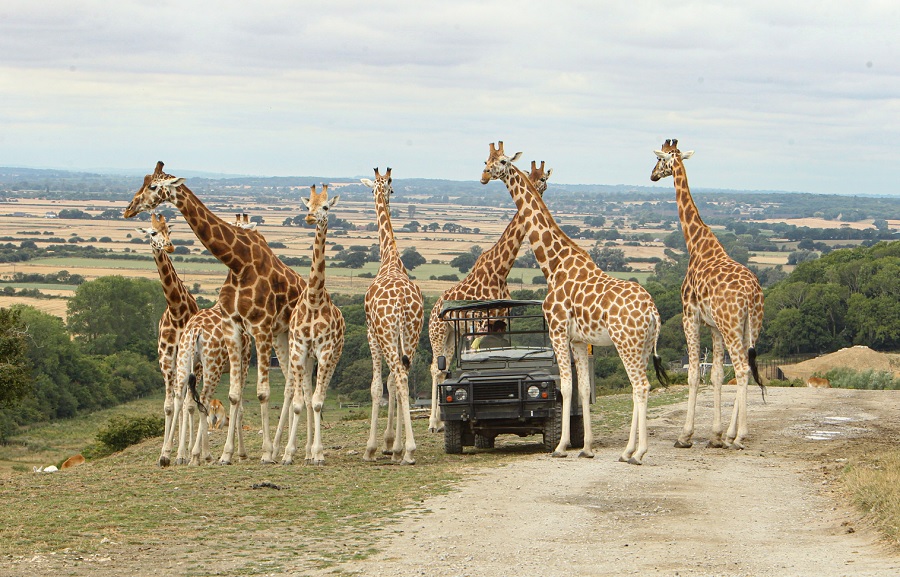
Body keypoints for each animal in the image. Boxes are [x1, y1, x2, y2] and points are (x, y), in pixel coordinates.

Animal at [135, 213, 200, 466]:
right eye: (153, 232)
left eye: (169, 230)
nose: (170, 245)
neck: (177, 311)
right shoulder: (165, 361)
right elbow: (169, 406)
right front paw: (164, 454)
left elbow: (185, 404)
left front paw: (180, 453)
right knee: (179, 399)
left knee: (189, 402)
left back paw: (189, 452)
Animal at [426, 161, 552, 433]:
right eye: (531, 175)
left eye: (544, 179)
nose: (536, 189)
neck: (501, 269)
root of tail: (434, 308)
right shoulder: (481, 323)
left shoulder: (502, 318)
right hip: (437, 333)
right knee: (434, 368)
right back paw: (433, 423)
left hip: (451, 335)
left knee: (444, 367)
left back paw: (440, 420)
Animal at [481, 142, 668, 464]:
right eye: (486, 160)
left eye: (502, 161)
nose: (484, 175)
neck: (553, 264)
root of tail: (652, 311)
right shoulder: (579, 339)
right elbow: (583, 390)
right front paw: (587, 448)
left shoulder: (557, 330)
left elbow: (566, 388)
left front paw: (560, 446)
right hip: (644, 345)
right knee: (638, 386)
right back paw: (627, 451)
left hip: (627, 343)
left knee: (641, 386)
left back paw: (638, 452)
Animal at [650, 138, 764, 449]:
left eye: (660, 160)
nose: (652, 176)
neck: (697, 245)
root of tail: (752, 294)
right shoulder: (713, 326)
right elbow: (715, 374)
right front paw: (715, 434)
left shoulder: (689, 316)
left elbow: (693, 374)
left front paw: (685, 435)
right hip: (751, 326)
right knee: (745, 367)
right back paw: (731, 435)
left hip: (732, 325)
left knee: (741, 369)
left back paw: (740, 436)